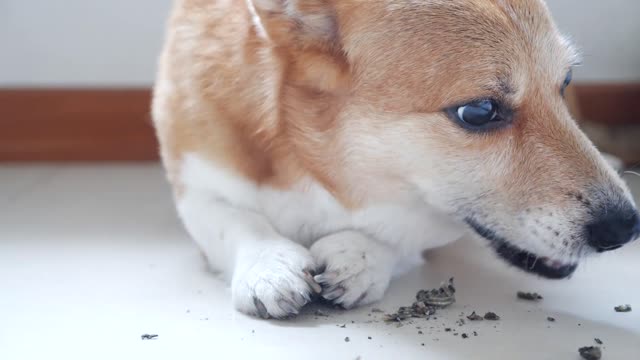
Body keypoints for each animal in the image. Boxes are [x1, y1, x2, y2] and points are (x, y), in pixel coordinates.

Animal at [151, 0, 640, 318]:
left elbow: (400, 231)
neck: (313, 165)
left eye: (565, 81)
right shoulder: (196, 183)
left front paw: (361, 255)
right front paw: (268, 267)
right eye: (479, 111)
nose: (627, 227)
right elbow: (236, 221)